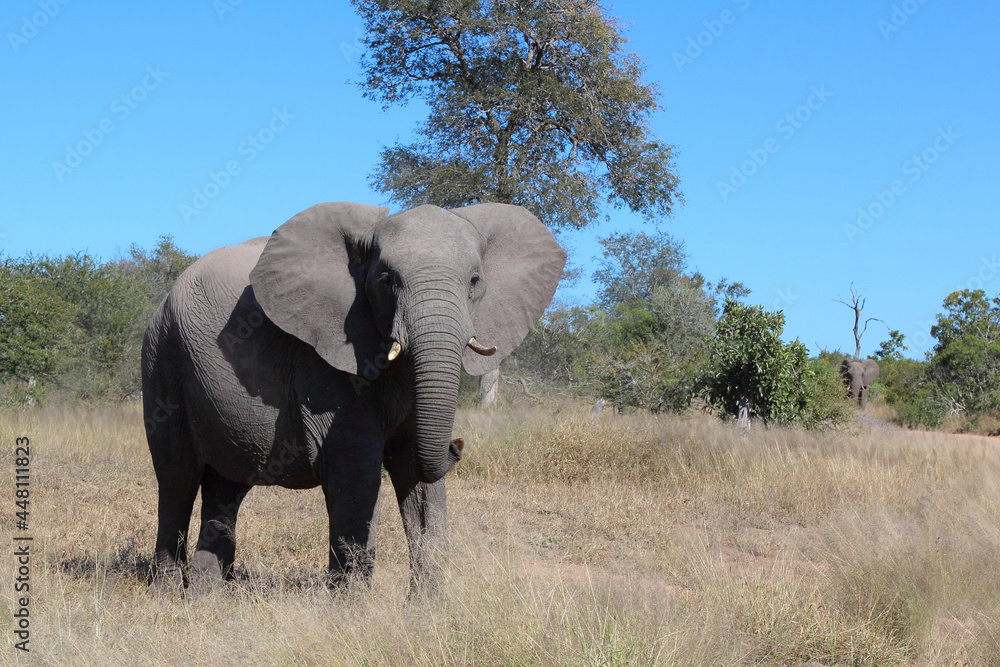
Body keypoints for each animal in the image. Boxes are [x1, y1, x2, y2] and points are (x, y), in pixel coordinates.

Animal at [141, 201, 565, 593]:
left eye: (475, 281)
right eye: (386, 279)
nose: (456, 445)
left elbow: (417, 480)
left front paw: (424, 612)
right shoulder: (325, 358)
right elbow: (356, 471)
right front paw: (350, 608)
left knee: (225, 484)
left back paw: (209, 595)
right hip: (162, 357)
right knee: (177, 479)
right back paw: (169, 593)